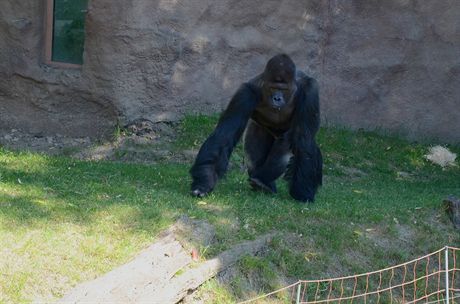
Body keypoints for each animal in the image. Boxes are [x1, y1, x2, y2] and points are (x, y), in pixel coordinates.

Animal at [189, 53, 322, 203]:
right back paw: (263, 184)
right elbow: (224, 135)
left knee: (290, 142)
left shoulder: (310, 91)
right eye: (272, 88)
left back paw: (263, 180)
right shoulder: (246, 93)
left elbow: (303, 138)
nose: (277, 98)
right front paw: (203, 183)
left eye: (284, 89)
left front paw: (302, 192)